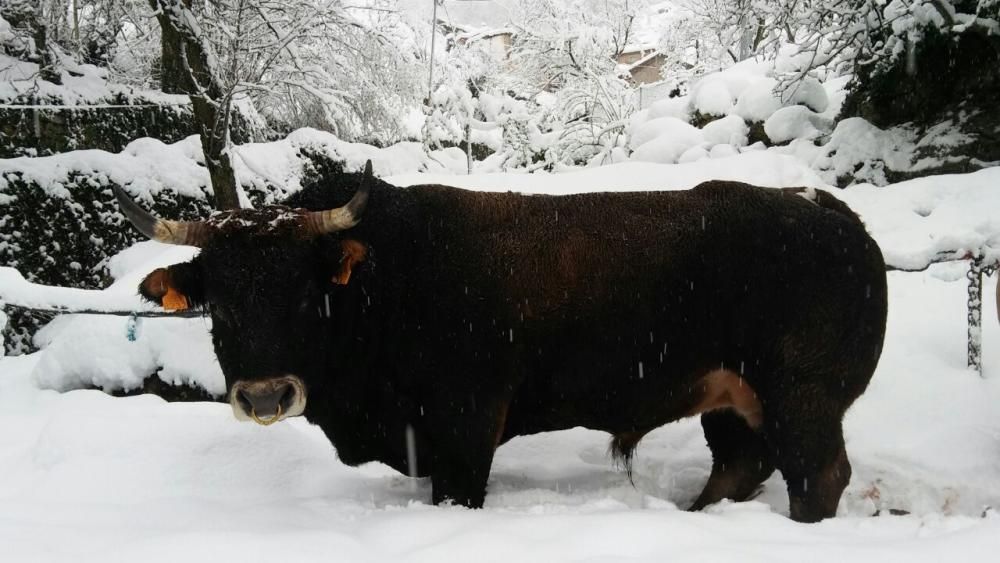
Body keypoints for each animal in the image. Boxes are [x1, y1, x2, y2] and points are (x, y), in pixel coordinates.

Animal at [113, 164, 888, 524]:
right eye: (218, 300)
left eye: (304, 293)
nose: (266, 394)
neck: (385, 282)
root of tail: (828, 209)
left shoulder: (465, 426)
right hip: (731, 402)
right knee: (740, 465)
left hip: (803, 398)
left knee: (817, 476)